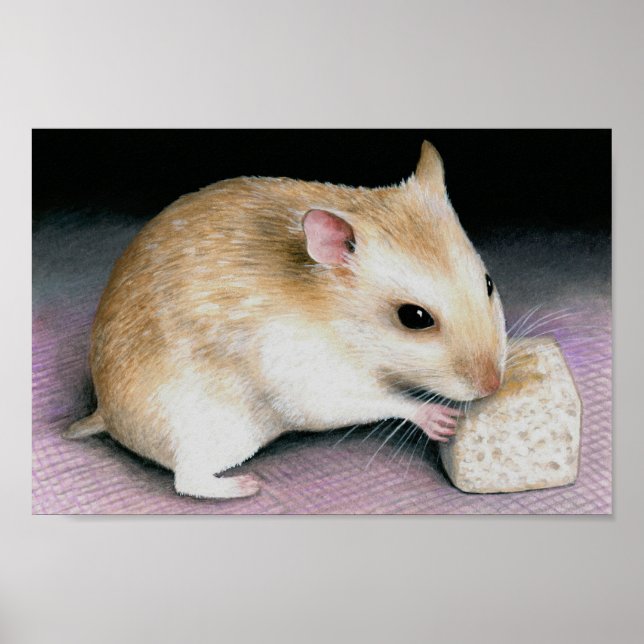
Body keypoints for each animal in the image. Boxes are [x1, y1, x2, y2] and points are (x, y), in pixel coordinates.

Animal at [65, 141, 507, 499]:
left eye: (488, 283)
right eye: (413, 318)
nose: (494, 386)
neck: (341, 320)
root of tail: (105, 415)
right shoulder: (308, 371)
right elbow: (378, 400)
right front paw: (435, 416)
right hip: (212, 429)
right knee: (186, 481)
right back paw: (242, 487)